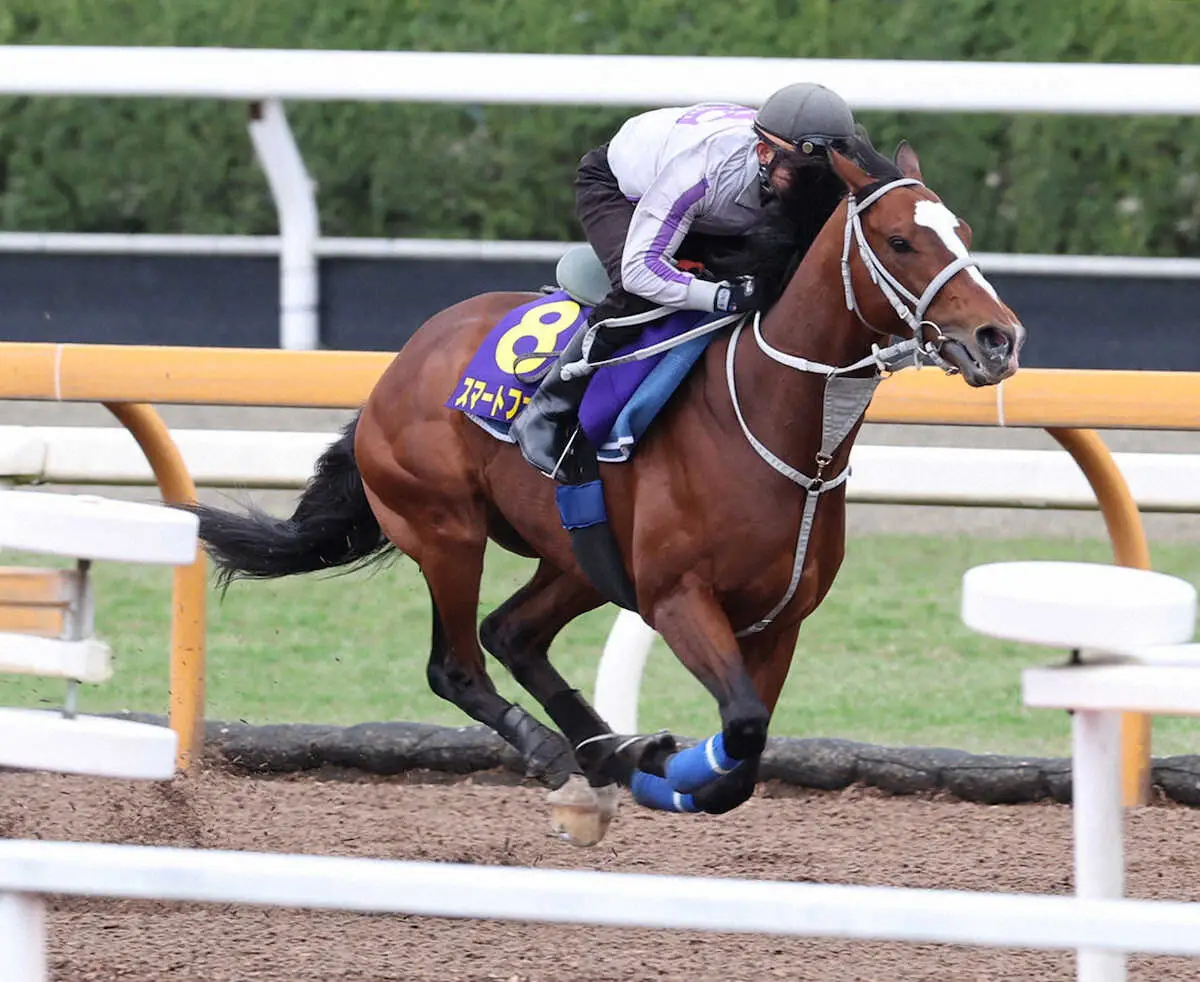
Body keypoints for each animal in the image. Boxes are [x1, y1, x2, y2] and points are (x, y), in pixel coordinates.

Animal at [194, 138, 1022, 840]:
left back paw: (608, 750)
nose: (998, 338)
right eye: (902, 241)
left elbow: (744, 758)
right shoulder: (678, 598)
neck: (782, 428)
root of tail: (399, 366)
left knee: (511, 634)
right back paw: (566, 754)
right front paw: (662, 767)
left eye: (963, 231)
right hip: (445, 529)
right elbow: (741, 729)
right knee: (456, 664)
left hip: (580, 558)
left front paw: (657, 763)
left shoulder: (780, 621)